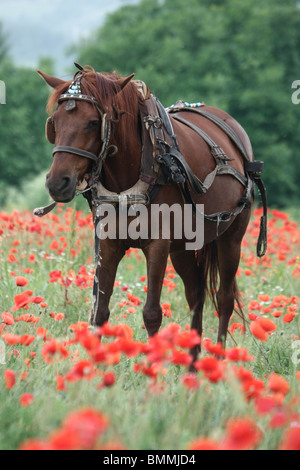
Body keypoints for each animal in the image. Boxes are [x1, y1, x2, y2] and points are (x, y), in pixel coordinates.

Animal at [38, 65, 268, 360]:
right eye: (54, 123)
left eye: (92, 122)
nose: (58, 182)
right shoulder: (108, 244)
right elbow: (99, 312)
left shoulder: (158, 244)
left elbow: (152, 313)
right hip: (183, 247)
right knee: (196, 295)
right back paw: (193, 363)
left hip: (231, 239)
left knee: (224, 299)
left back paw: (217, 358)